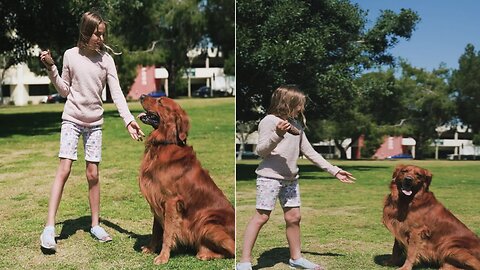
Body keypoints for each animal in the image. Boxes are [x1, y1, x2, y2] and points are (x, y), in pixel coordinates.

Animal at [137, 95, 234, 264]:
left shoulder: (171, 201)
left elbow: (167, 232)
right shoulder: (157, 199)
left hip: (207, 223)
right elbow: (156, 230)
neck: (163, 144)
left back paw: (205, 254)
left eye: (160, 101)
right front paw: (150, 249)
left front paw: (163, 257)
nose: (141, 96)